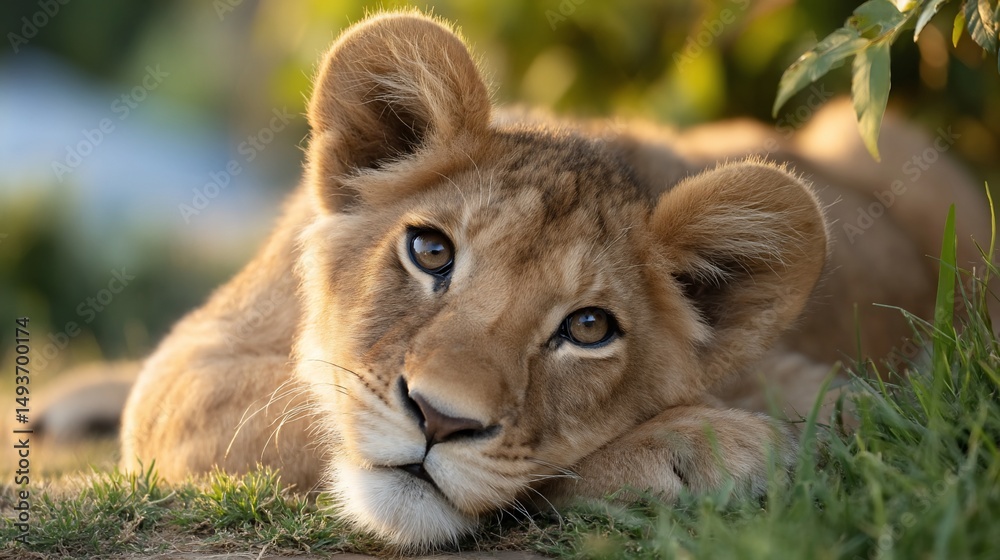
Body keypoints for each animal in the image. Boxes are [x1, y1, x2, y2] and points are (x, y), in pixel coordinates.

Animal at [44, 10, 987, 549]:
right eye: (431, 253)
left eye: (588, 328)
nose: (440, 419)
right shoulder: (189, 370)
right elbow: (304, 409)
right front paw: (698, 446)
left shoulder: (876, 391)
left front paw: (699, 444)